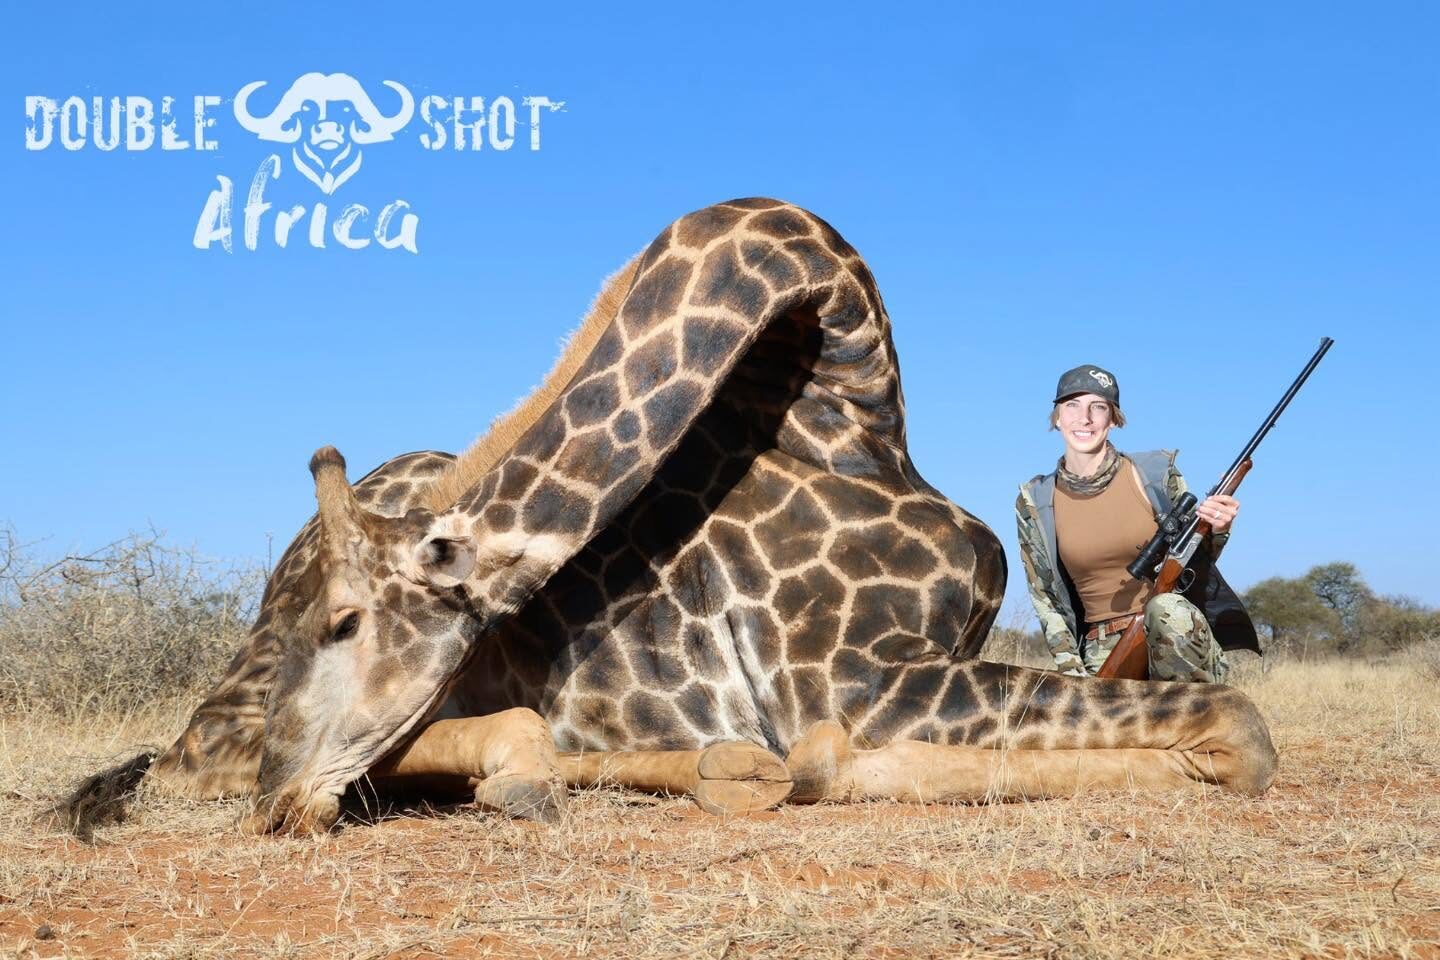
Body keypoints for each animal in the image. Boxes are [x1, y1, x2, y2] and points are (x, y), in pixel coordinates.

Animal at [63, 198, 1276, 838]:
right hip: (228, 722)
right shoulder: (849, 678)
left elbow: (1227, 728)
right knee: (204, 761)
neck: (858, 421)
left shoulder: (897, 672)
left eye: (349, 623)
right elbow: (1241, 729)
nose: (280, 800)